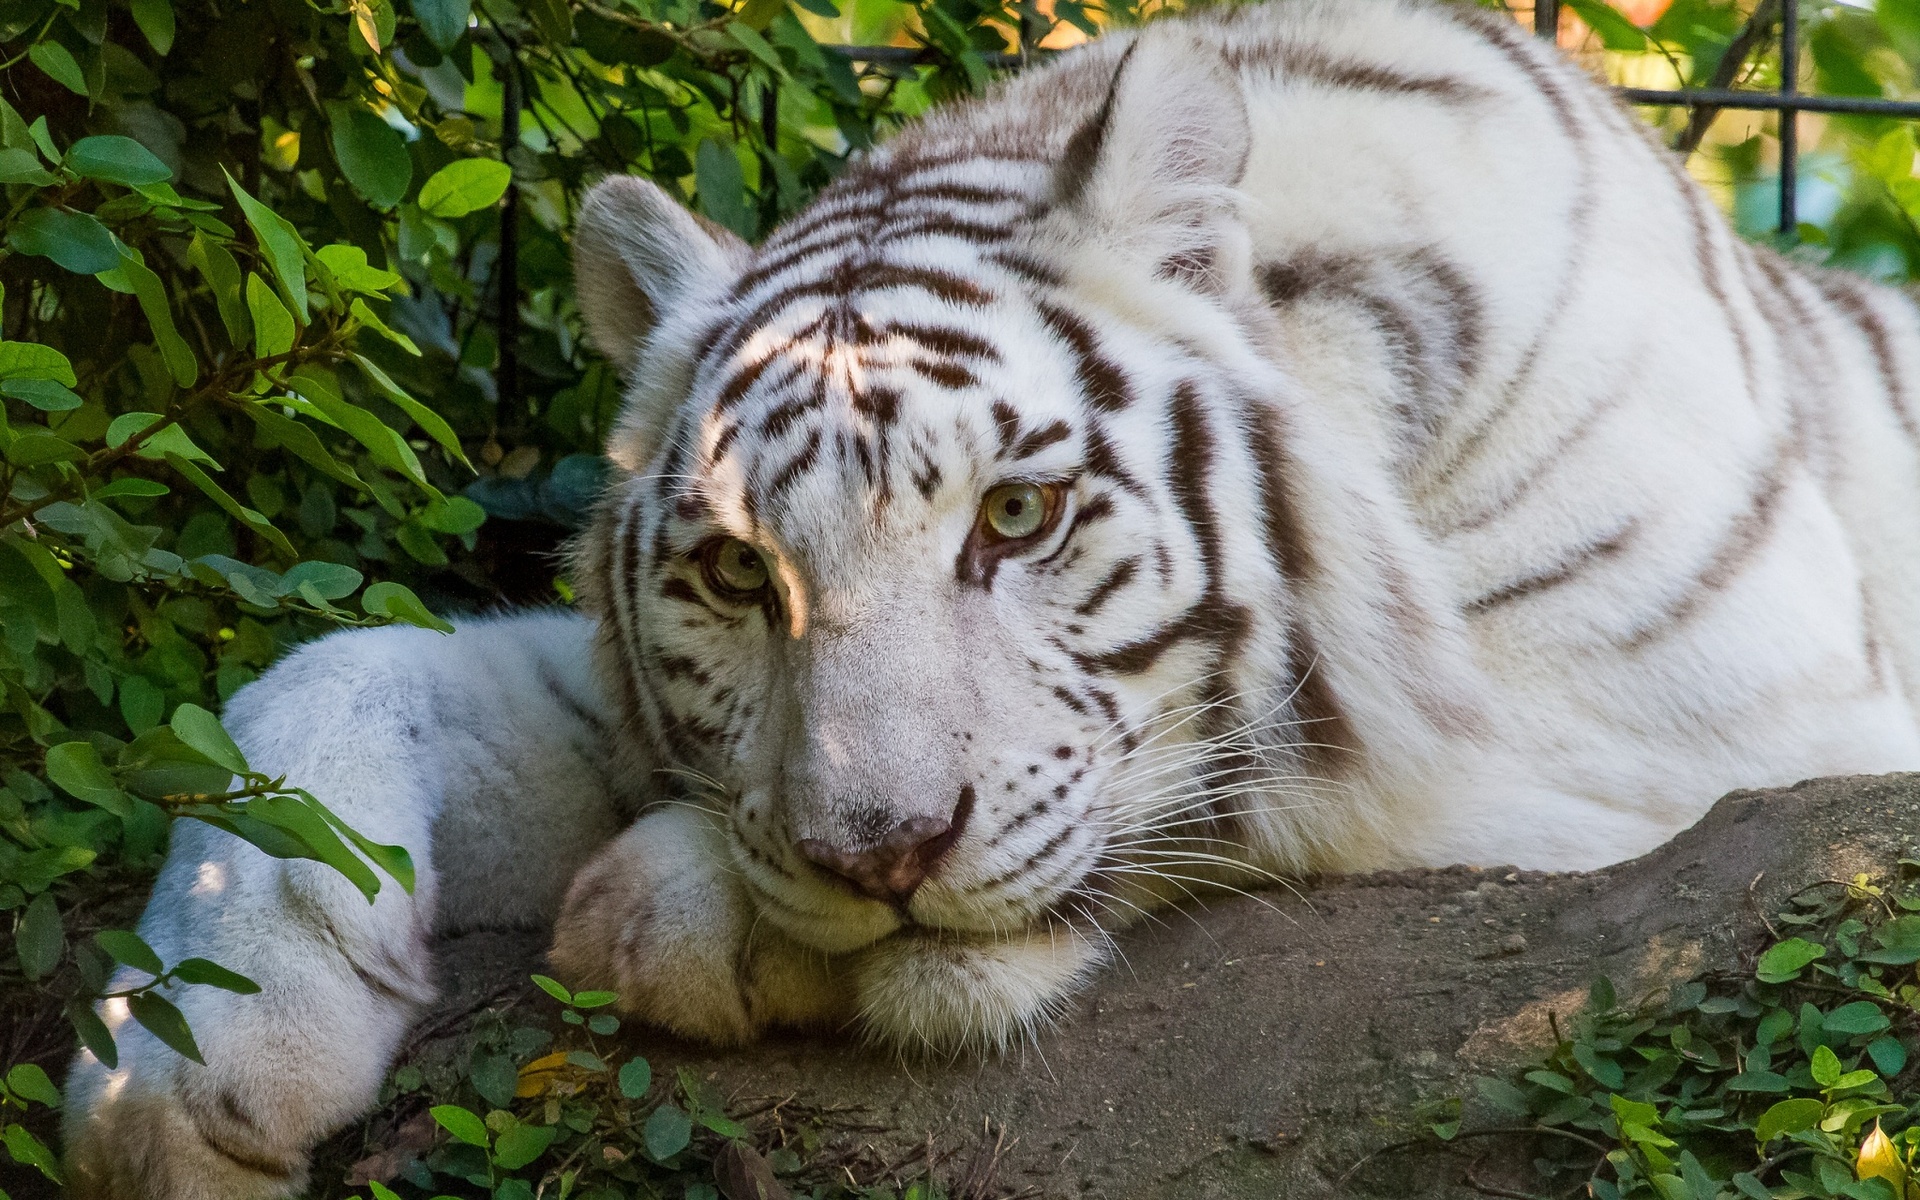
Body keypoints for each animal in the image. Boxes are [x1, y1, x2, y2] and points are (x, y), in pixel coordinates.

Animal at [67, 2, 1920, 1190]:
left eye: (1016, 517)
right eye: (737, 570)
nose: (878, 855)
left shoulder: (1707, 728)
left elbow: (1322, 769)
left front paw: (666, 913)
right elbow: (334, 665)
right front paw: (179, 1054)